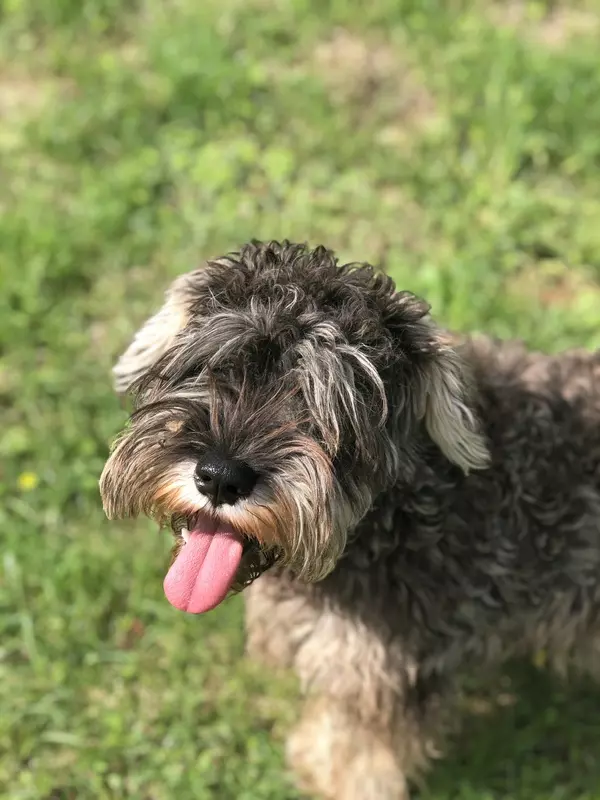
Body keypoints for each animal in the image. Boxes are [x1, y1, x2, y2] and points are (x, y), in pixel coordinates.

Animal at [101, 241, 600, 800]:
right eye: (212, 366)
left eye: (329, 403)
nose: (220, 478)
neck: (396, 513)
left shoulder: (379, 672)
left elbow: (356, 752)